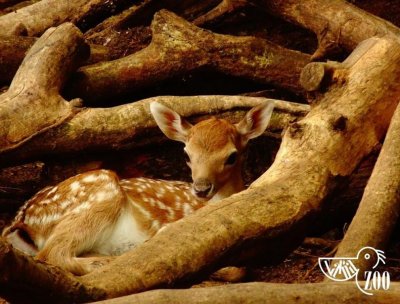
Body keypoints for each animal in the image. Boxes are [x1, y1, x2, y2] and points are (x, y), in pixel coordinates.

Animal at [1, 101, 274, 276]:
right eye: (187, 154)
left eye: (232, 156)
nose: (201, 188)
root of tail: (22, 219)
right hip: (102, 191)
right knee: (51, 253)